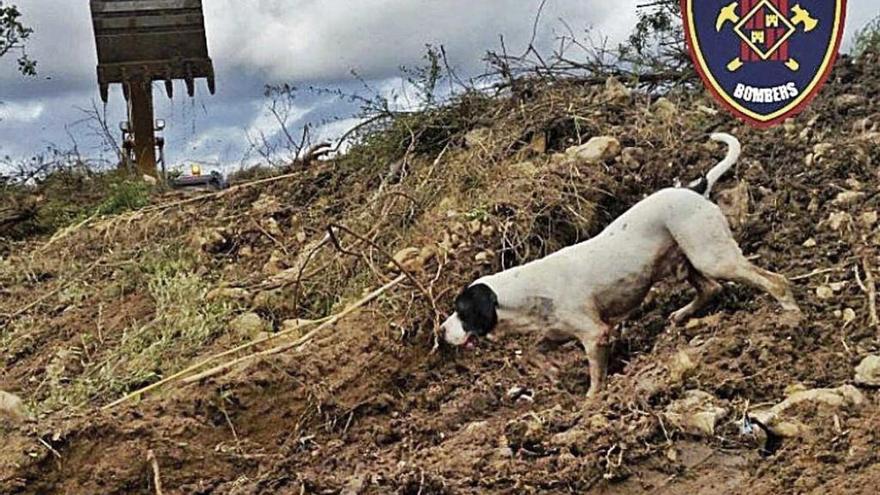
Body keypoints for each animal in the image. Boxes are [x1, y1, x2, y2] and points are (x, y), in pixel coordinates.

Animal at [444, 134, 800, 398]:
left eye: (461, 311)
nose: (441, 331)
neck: (525, 290)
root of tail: (694, 189)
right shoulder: (554, 332)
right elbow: (535, 352)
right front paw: (553, 373)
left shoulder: (595, 334)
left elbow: (595, 374)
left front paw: (592, 399)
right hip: (688, 258)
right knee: (711, 289)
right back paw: (681, 315)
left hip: (710, 256)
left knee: (773, 280)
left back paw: (790, 315)